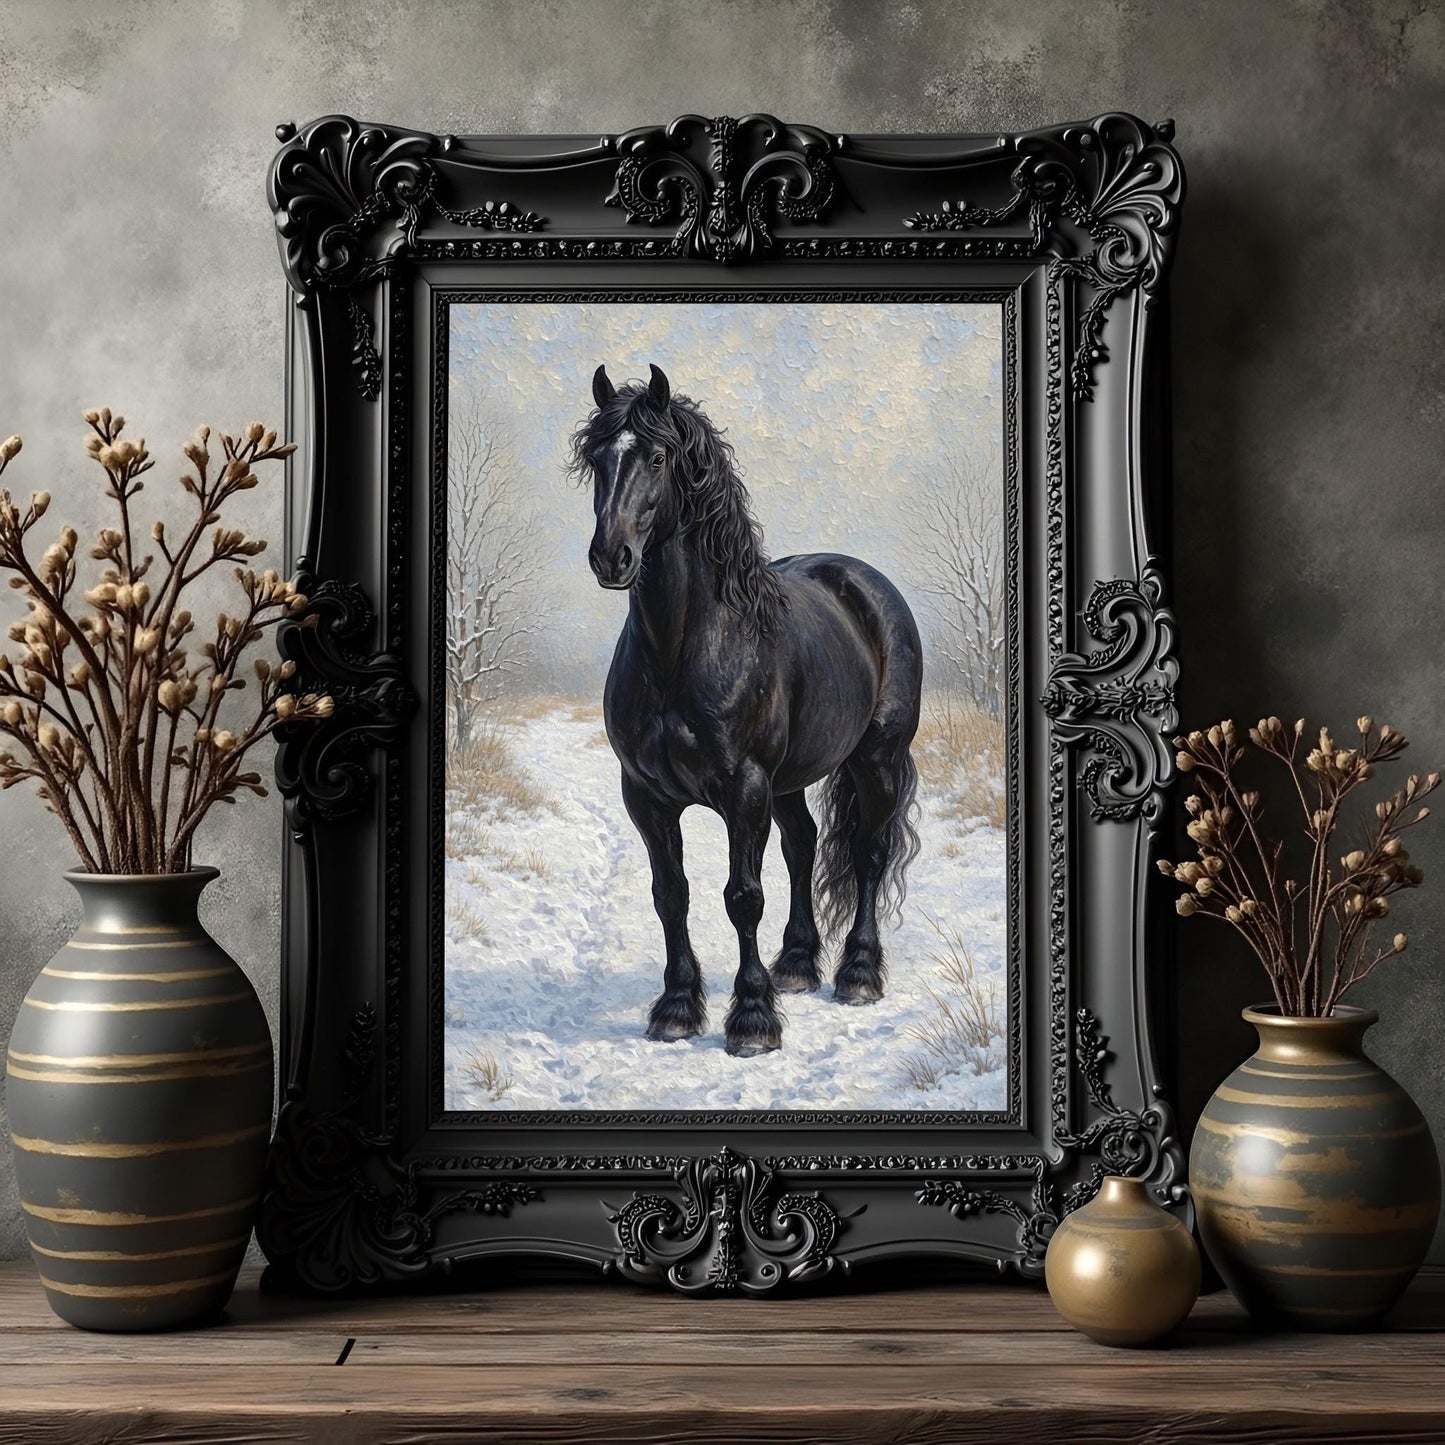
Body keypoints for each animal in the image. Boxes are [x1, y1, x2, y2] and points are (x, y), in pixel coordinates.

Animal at [570, 363, 923, 1057]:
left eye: (657, 457)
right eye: (597, 458)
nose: (611, 557)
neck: (685, 648)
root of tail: (867, 586)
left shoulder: (745, 788)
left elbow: (742, 897)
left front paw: (753, 1020)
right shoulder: (646, 796)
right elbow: (671, 894)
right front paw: (677, 1009)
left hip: (876, 759)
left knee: (868, 852)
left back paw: (858, 974)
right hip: (789, 782)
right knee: (803, 847)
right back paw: (797, 965)